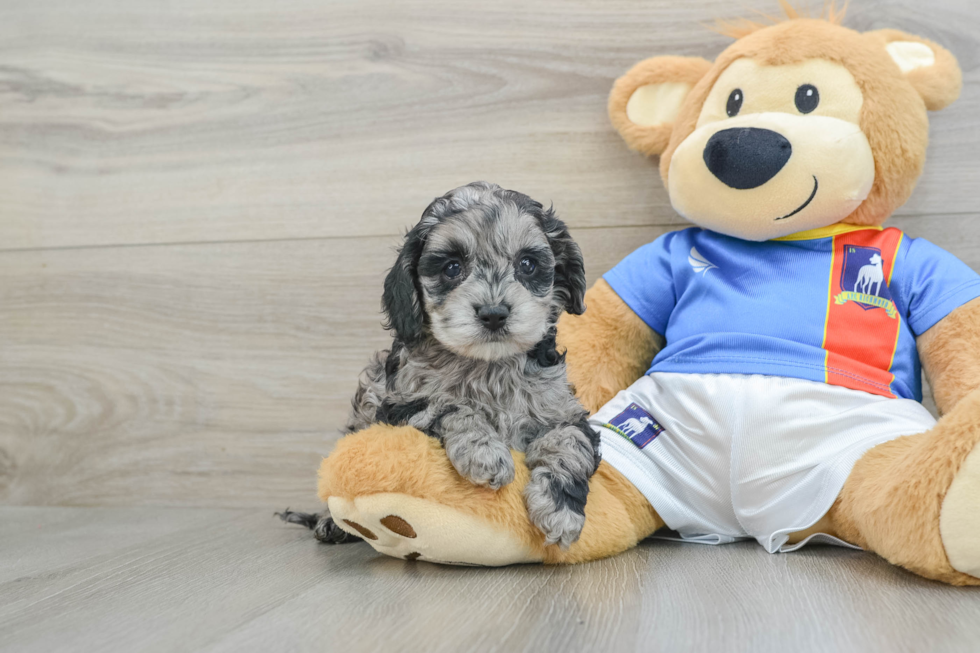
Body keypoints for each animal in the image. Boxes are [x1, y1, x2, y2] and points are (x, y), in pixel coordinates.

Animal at [284, 181, 600, 548]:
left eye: (527, 264)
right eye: (452, 268)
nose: (493, 313)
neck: (487, 367)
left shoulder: (563, 412)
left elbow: (570, 444)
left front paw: (561, 511)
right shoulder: (399, 406)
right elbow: (449, 406)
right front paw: (484, 452)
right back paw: (331, 524)